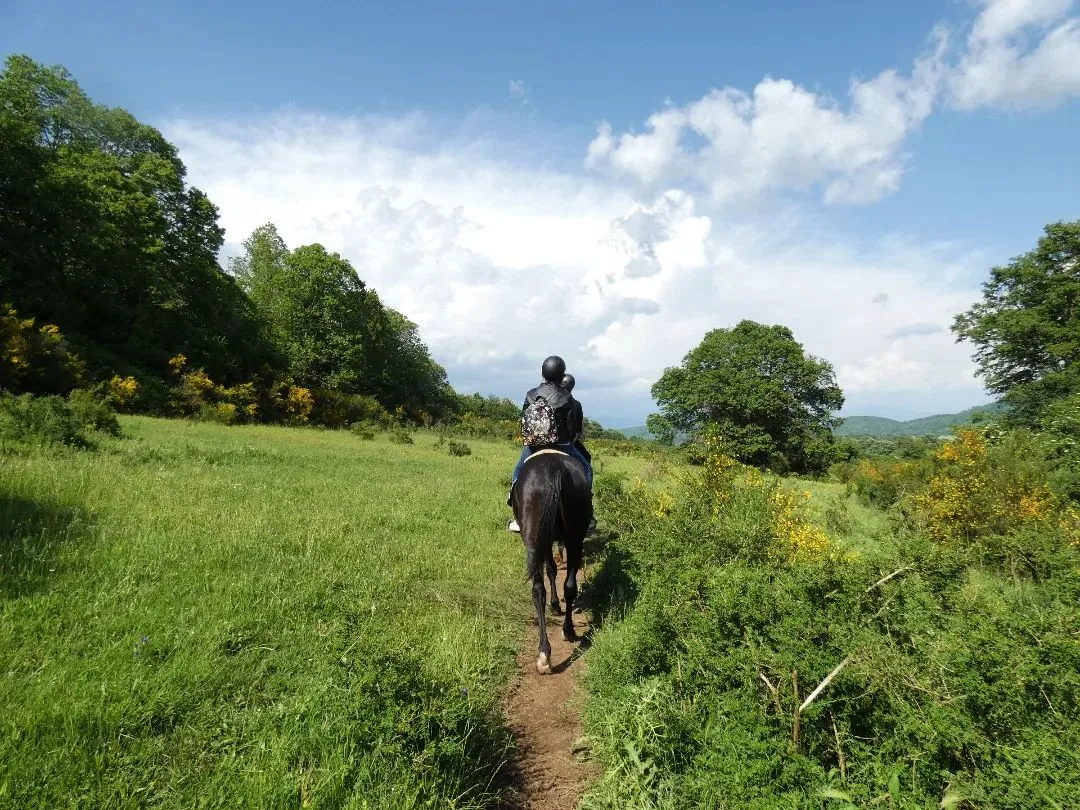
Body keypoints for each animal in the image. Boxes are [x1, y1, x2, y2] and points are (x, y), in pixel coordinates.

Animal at [510, 448, 593, 674]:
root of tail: (552, 466)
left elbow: (551, 569)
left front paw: (555, 605)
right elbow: (554, 570)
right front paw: (557, 605)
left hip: (535, 538)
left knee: (541, 588)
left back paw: (547, 651)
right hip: (572, 536)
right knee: (565, 585)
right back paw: (562, 636)